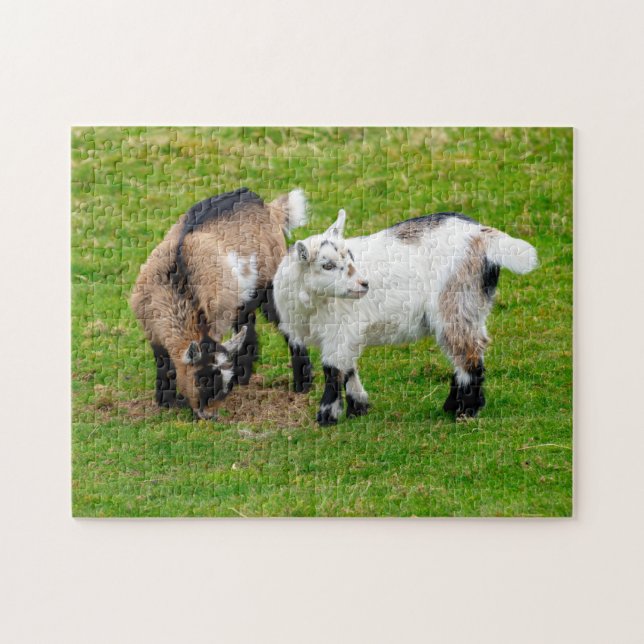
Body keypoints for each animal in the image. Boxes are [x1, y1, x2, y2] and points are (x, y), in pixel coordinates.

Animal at [131, 187, 312, 419]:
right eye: (202, 379)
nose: (210, 415)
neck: (179, 284)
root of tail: (267, 207)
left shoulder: (216, 319)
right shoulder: (151, 327)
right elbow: (163, 362)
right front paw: (166, 401)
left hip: (271, 284)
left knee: (289, 324)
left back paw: (302, 384)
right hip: (242, 300)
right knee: (248, 329)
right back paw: (245, 376)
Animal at [272, 208, 538, 425]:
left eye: (350, 257)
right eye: (327, 265)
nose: (363, 284)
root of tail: (482, 235)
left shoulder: (339, 330)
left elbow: (333, 370)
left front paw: (327, 416)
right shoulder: (345, 334)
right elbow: (348, 368)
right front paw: (358, 407)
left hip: (455, 300)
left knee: (468, 354)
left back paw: (464, 411)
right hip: (473, 305)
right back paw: (454, 405)